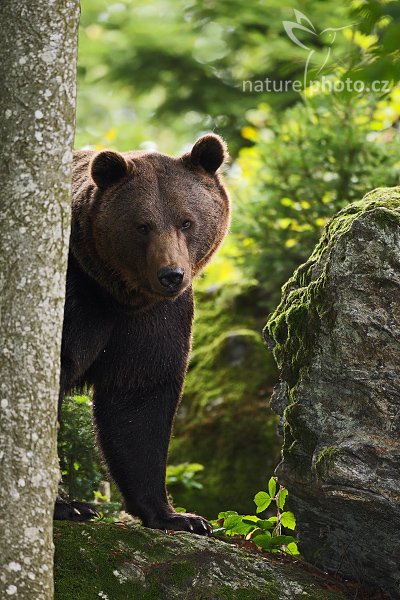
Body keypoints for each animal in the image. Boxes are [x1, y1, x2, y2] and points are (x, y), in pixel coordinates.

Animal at [56, 135, 231, 536]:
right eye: (143, 225)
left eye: (186, 221)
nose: (171, 275)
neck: (116, 292)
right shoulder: (75, 296)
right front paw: (67, 505)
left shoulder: (153, 319)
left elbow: (139, 400)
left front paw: (177, 515)